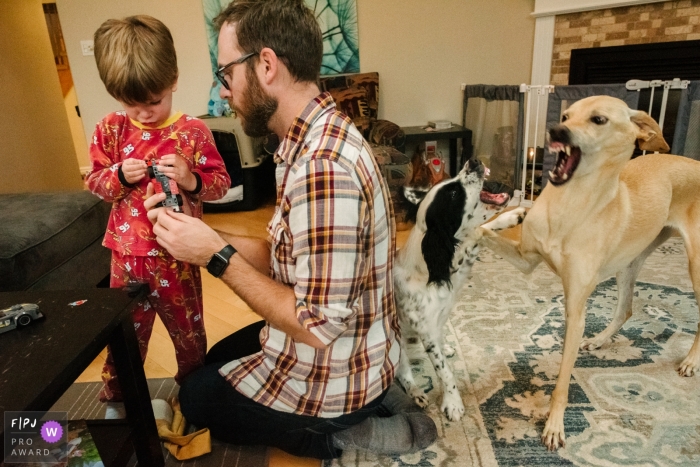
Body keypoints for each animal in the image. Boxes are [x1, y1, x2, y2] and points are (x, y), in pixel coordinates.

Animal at [394, 159, 524, 422]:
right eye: (453, 194)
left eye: (450, 182)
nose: (472, 161)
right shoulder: (426, 331)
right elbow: (444, 372)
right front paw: (453, 403)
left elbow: (481, 230)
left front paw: (512, 215)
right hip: (397, 347)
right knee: (404, 374)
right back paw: (417, 394)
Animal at [484, 95, 700, 450]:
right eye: (566, 115)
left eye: (598, 119)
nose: (555, 131)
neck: (569, 203)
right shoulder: (526, 260)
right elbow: (480, 232)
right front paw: (505, 217)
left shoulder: (575, 310)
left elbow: (562, 379)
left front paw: (555, 425)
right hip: (629, 263)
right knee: (626, 309)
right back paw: (598, 341)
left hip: (695, 266)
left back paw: (690, 361)